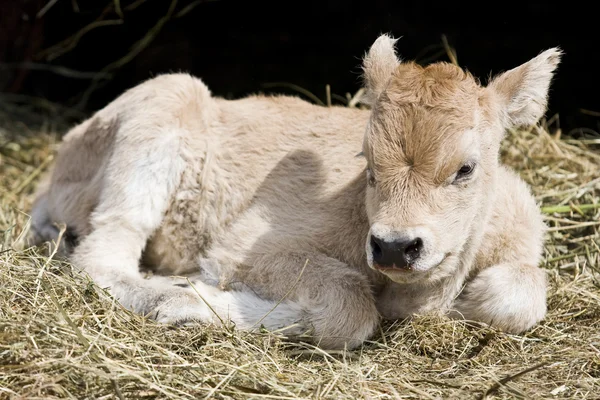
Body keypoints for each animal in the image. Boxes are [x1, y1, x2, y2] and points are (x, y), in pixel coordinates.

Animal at [29, 34, 564, 348]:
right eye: (368, 162)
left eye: (466, 169)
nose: (394, 246)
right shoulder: (247, 247)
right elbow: (350, 309)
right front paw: (194, 303)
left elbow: (522, 295)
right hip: (161, 108)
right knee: (104, 251)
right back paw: (167, 293)